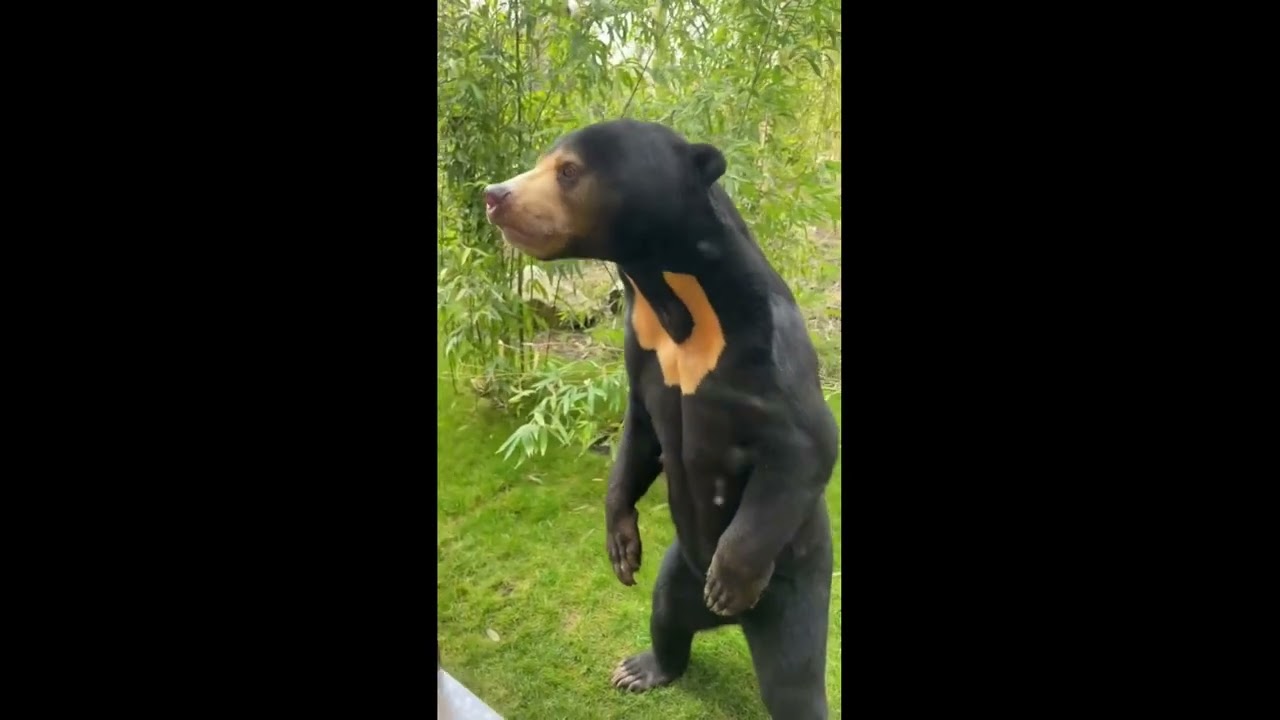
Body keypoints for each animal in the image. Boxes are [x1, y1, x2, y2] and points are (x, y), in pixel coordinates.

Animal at [483, 119, 839, 719]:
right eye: (543, 162)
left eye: (569, 171)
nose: (493, 195)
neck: (673, 297)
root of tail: (732, 626)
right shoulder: (642, 350)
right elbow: (639, 435)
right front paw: (621, 549)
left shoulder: (770, 346)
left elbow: (807, 444)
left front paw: (730, 579)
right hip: (677, 570)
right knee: (666, 614)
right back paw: (640, 668)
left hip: (799, 583)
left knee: (793, 681)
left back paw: (726, 606)